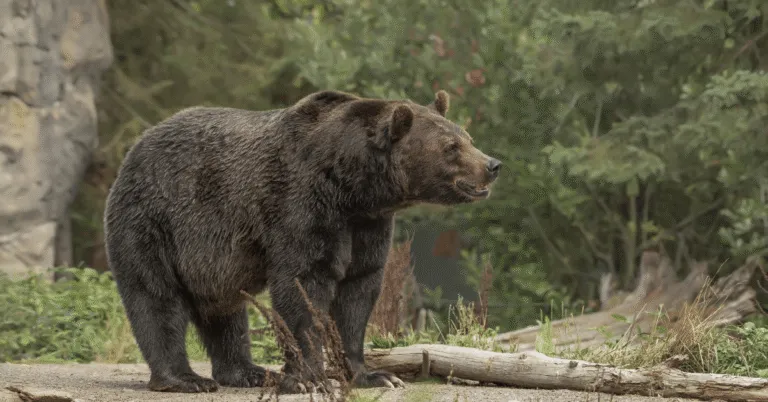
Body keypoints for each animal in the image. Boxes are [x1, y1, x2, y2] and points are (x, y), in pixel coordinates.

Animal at [103, 89, 502, 394]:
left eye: (467, 137)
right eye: (451, 146)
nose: (492, 164)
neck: (353, 187)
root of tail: (134, 148)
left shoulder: (367, 226)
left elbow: (358, 292)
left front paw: (373, 375)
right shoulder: (302, 205)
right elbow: (303, 287)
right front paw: (309, 378)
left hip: (211, 260)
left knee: (226, 311)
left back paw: (248, 372)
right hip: (154, 221)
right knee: (156, 297)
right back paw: (185, 379)